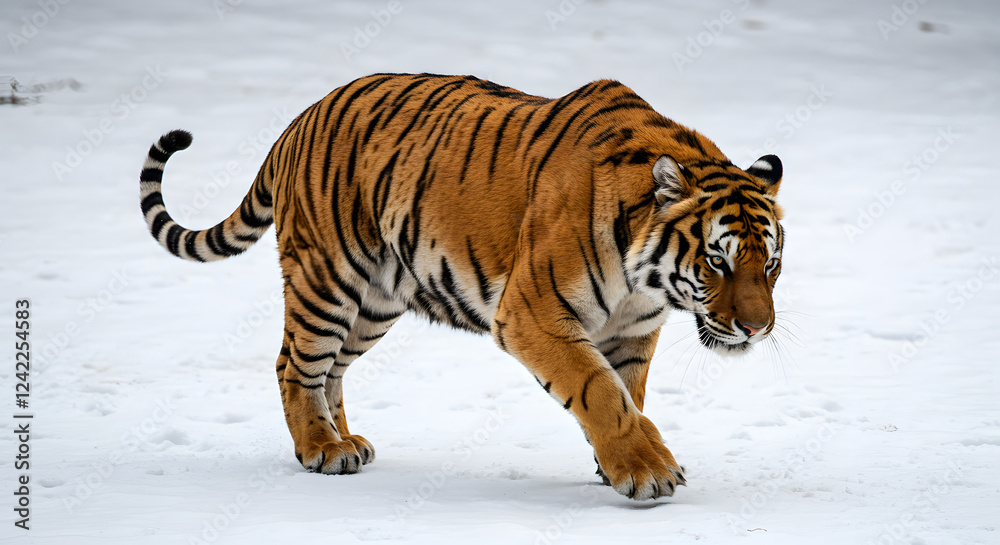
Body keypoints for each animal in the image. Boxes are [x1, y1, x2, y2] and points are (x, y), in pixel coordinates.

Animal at [138, 73, 784, 501]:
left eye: (771, 265)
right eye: (717, 262)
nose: (757, 328)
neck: (643, 282)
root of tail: (299, 119)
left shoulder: (632, 333)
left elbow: (628, 394)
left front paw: (618, 464)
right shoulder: (533, 313)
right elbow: (600, 390)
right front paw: (646, 469)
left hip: (375, 301)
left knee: (332, 369)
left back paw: (346, 441)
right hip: (327, 280)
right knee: (292, 364)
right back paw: (321, 449)